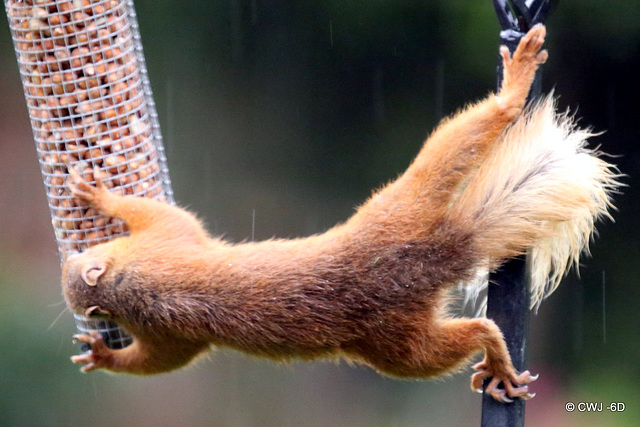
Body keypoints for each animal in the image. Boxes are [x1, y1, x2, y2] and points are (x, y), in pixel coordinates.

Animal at [61, 25, 620, 402]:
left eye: (80, 263)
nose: (71, 262)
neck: (134, 280)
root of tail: (437, 252)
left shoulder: (168, 248)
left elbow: (164, 229)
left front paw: (97, 197)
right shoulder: (164, 301)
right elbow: (163, 358)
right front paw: (103, 353)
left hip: (398, 234)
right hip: (404, 288)